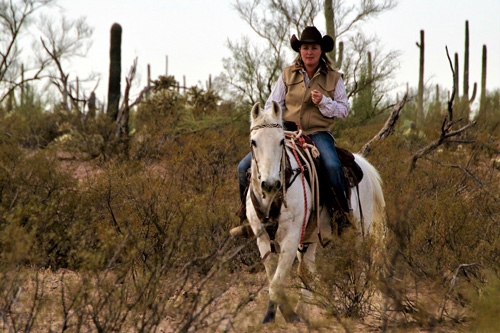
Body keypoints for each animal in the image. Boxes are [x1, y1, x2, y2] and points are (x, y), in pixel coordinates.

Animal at [246, 100, 386, 322]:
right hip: (311, 237)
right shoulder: (263, 239)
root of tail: (361, 162)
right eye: (254, 142)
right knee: (309, 271)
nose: (270, 184)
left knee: (361, 264)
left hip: (360, 231)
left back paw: (360, 302)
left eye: (281, 142)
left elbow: (277, 282)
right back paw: (305, 309)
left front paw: (289, 317)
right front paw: (272, 317)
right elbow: (273, 280)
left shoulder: (292, 237)